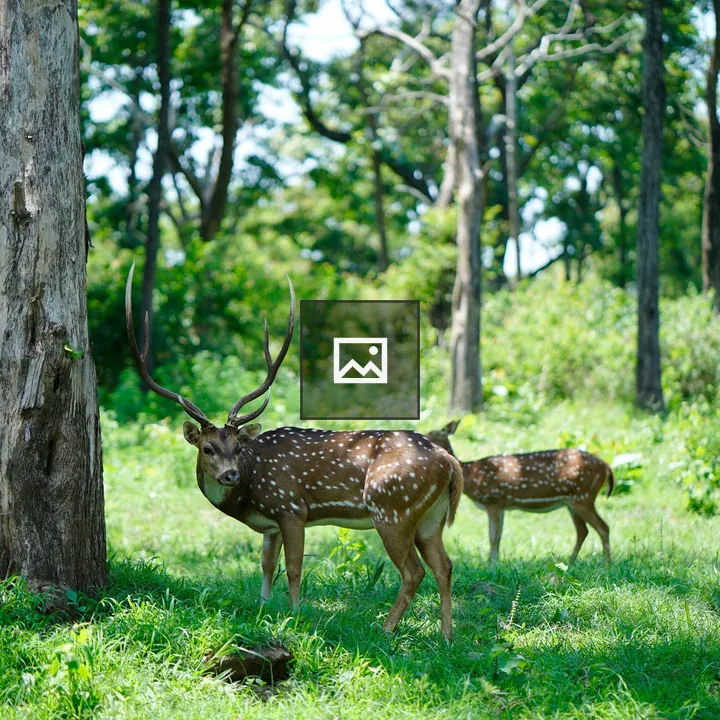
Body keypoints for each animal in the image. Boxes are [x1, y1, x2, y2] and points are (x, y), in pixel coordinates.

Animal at [125, 265, 463, 641]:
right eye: (208, 448)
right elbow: (266, 565)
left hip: (392, 507)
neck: (250, 493)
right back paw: (446, 635)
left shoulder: (291, 508)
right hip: (430, 518)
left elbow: (294, 566)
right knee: (445, 566)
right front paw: (262, 608)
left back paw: (386, 630)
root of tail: (450, 462)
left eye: (237, 446)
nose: (231, 474)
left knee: (413, 571)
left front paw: (296, 615)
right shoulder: (270, 525)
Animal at [426, 420, 613, 568]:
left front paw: (492, 565)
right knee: (583, 531)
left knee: (603, 527)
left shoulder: (493, 501)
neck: (472, 476)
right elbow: (498, 536)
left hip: (584, 496)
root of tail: (606, 466)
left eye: (430, 435)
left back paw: (607, 566)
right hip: (572, 501)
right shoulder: (501, 505)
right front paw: (496, 563)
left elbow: (492, 536)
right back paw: (571, 563)